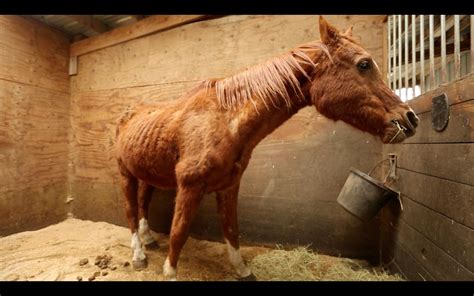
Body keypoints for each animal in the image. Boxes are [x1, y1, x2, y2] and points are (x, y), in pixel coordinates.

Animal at [115, 16, 418, 280]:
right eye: (364, 64)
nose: (410, 118)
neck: (224, 120)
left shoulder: (229, 186)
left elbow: (232, 229)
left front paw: (242, 270)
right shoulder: (190, 187)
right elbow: (179, 232)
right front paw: (170, 272)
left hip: (148, 174)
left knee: (143, 203)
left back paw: (149, 239)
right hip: (125, 174)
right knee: (130, 210)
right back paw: (138, 255)